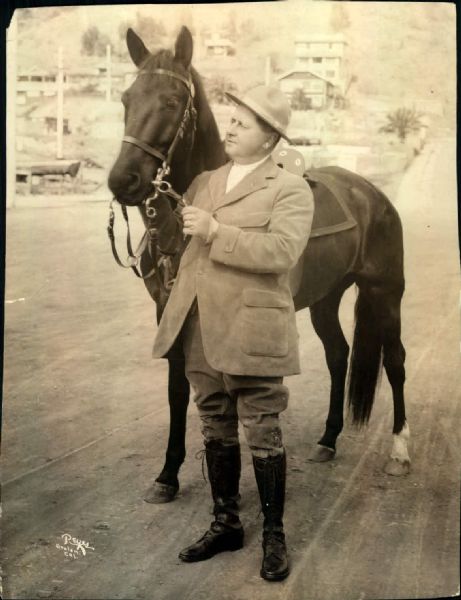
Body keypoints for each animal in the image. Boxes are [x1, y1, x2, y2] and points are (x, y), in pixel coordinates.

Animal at [108, 25, 410, 502]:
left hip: (386, 294)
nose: (124, 180)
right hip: (326, 299)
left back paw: (400, 451)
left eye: (171, 102)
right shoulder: (169, 312)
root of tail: (371, 193)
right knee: (338, 354)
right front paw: (168, 474)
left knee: (395, 361)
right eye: (126, 98)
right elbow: (178, 389)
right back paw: (328, 439)